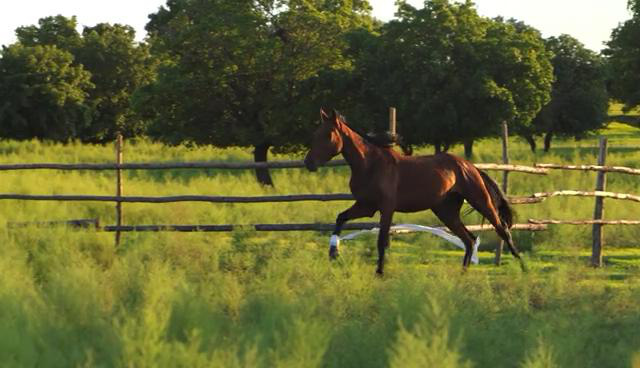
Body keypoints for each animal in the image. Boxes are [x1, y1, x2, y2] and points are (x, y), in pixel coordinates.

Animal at [302, 108, 524, 274]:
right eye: (315, 135)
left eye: (327, 135)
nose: (308, 163)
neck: (370, 164)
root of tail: (470, 166)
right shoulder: (366, 206)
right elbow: (340, 218)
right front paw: (333, 253)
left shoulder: (386, 208)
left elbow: (381, 241)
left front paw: (379, 272)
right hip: (446, 212)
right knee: (469, 240)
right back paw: (463, 273)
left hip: (480, 200)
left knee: (501, 229)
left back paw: (522, 266)